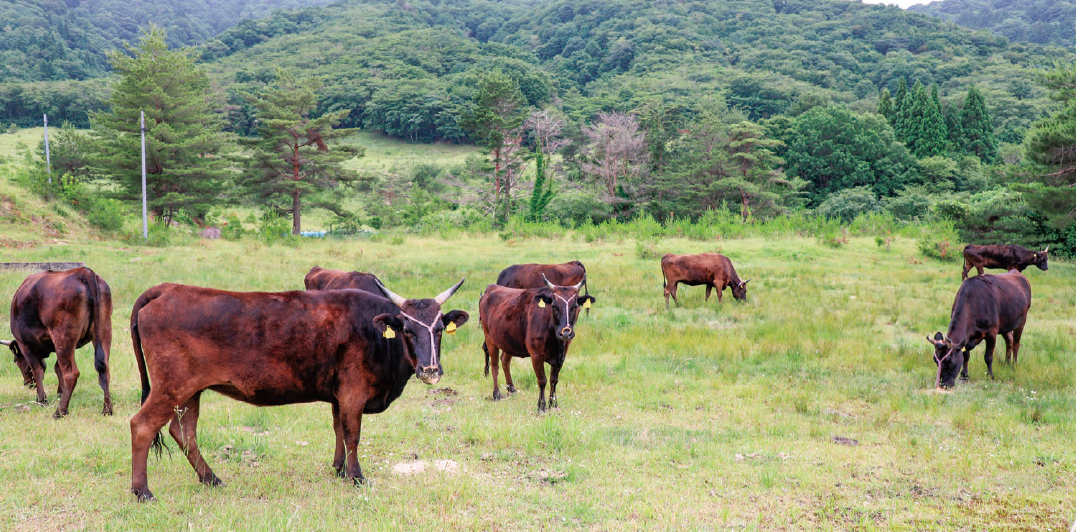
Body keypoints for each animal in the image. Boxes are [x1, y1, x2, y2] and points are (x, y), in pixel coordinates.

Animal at [3, 268, 111, 417]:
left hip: (63, 338)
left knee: (71, 374)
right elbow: (57, 368)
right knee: (104, 368)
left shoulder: (25, 345)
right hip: (103, 332)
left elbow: (38, 370)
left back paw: (60, 411)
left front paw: (42, 399)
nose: (27, 384)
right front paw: (60, 392)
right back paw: (107, 409)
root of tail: (83, 271)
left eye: (16, 361)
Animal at [125, 275, 466, 501]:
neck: (373, 330)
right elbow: (353, 433)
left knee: (184, 433)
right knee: (142, 426)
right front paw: (356, 476)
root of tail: (167, 289)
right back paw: (142, 491)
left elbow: (339, 429)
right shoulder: (353, 392)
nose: (430, 370)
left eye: (439, 329)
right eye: (407, 330)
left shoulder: (338, 395)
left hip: (190, 391)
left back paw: (211, 479)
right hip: (171, 388)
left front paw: (339, 469)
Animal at [482, 274, 598, 411]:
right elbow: (542, 380)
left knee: (505, 360)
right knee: (495, 365)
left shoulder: (561, 356)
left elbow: (554, 380)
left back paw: (511, 388)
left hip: (508, 341)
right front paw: (541, 406)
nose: (566, 333)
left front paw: (553, 403)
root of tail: (492, 287)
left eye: (575, 307)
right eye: (554, 307)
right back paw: (496, 394)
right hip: (490, 338)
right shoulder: (536, 355)